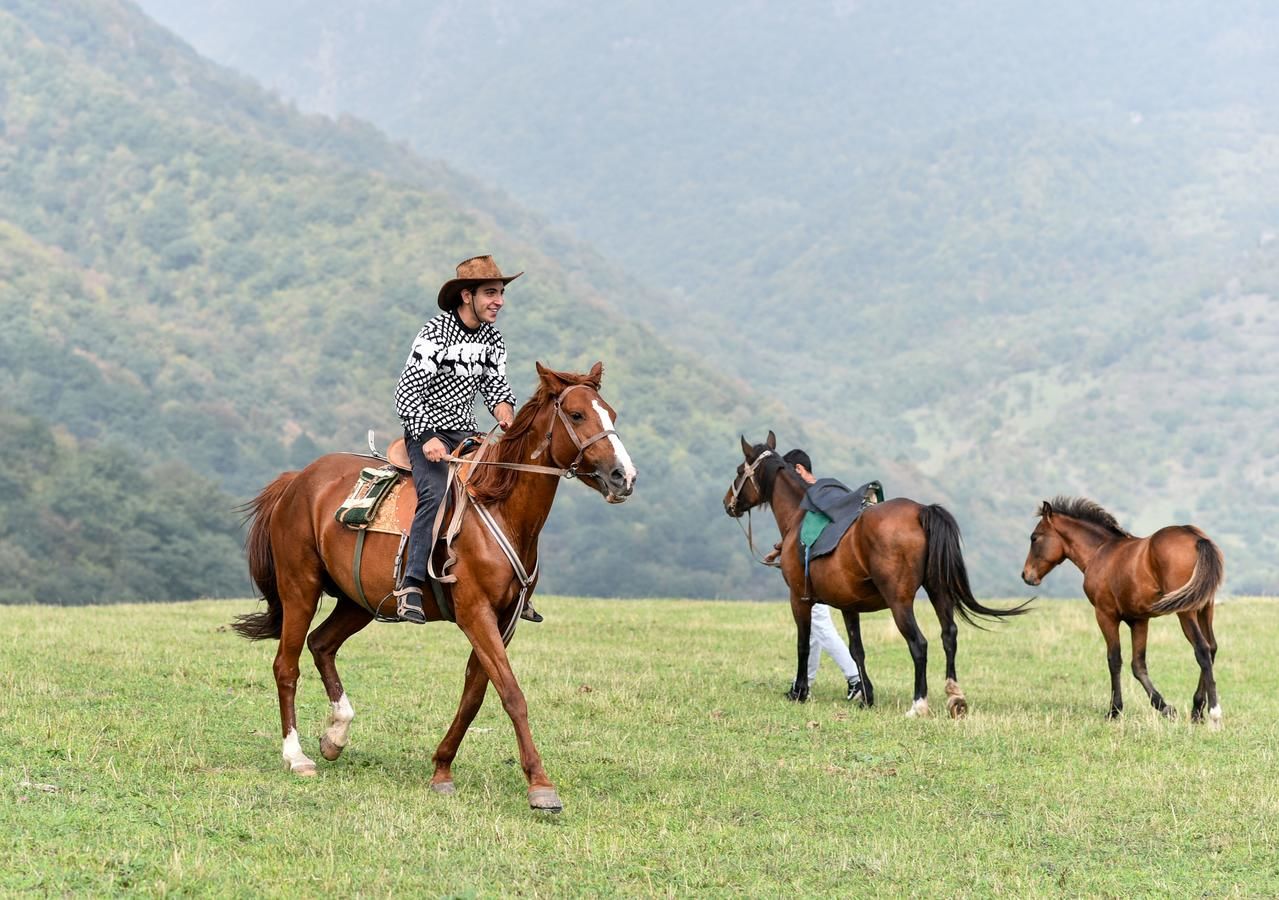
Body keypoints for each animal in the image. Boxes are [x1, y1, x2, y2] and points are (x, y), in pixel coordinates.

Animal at [232, 363, 636, 813]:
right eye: (578, 415)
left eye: (611, 414)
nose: (624, 476)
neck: (497, 505)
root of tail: (297, 481)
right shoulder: (476, 613)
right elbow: (511, 693)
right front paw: (540, 785)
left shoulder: (504, 622)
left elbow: (475, 695)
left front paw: (442, 769)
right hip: (299, 587)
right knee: (286, 666)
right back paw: (297, 755)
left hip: (360, 602)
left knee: (321, 645)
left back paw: (336, 735)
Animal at [721, 432, 1028, 721]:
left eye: (738, 470)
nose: (727, 503)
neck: (798, 515)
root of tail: (921, 511)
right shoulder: (848, 606)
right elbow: (856, 649)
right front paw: (866, 696)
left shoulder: (799, 599)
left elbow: (803, 645)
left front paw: (799, 691)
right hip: (938, 591)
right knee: (949, 635)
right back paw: (955, 697)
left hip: (899, 602)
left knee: (919, 644)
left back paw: (919, 704)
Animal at [1018, 496, 1227, 726]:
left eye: (1034, 538)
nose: (1026, 575)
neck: (1100, 552)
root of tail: (1196, 537)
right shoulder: (1139, 620)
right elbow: (1138, 665)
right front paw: (1164, 708)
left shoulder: (1105, 615)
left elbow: (1114, 660)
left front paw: (1114, 710)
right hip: (1204, 608)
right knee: (1212, 647)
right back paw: (1197, 710)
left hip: (1186, 611)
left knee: (1202, 649)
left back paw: (1213, 712)